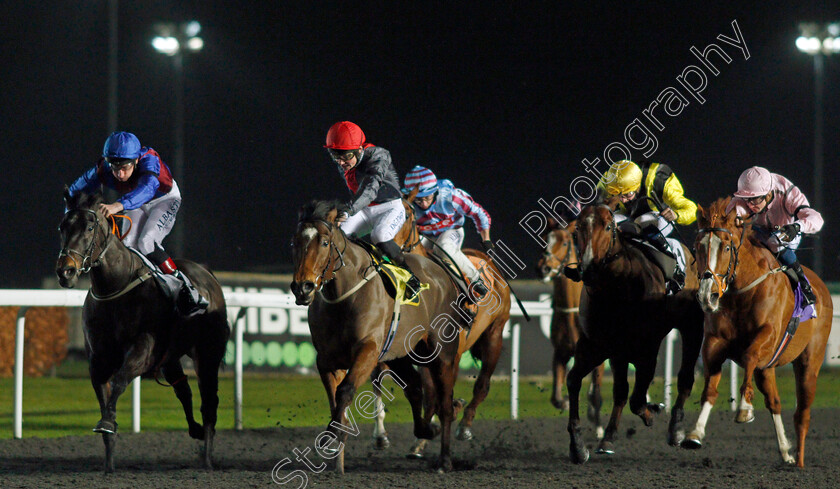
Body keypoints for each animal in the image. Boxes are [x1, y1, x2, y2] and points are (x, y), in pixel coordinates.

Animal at [55, 189, 230, 470]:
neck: (116, 287)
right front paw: (108, 462)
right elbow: (104, 398)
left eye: (90, 227)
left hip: (207, 353)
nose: (66, 271)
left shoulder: (143, 349)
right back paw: (195, 430)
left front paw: (108, 424)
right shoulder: (98, 358)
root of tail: (207, 273)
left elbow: (119, 381)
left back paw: (207, 460)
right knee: (183, 389)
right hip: (170, 357)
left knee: (209, 402)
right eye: (63, 226)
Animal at [292, 199, 470, 472]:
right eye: (295, 242)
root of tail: (444, 274)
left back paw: (445, 459)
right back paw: (428, 430)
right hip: (401, 354)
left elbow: (345, 390)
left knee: (445, 404)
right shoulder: (326, 359)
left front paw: (332, 436)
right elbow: (334, 397)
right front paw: (336, 449)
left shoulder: (368, 350)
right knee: (415, 388)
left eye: (324, 242)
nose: (303, 288)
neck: (344, 295)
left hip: (442, 353)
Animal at [540, 217, 604, 434]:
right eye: (545, 239)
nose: (543, 268)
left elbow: (596, 395)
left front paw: (599, 427)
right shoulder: (560, 351)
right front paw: (566, 402)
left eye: (565, 243)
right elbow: (555, 397)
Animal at [560, 201, 704, 462]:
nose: (588, 269)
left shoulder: (647, 346)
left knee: (685, 378)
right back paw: (608, 437)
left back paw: (676, 429)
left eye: (608, 227)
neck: (619, 286)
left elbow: (637, 398)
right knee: (621, 391)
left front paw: (653, 412)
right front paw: (578, 446)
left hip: (692, 326)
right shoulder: (597, 344)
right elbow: (575, 380)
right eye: (577, 230)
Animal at [684, 196, 832, 468]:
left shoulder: (767, 338)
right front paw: (694, 433)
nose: (707, 296)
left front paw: (744, 409)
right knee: (775, 402)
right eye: (697, 246)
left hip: (809, 363)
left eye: (727, 248)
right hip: (768, 369)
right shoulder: (714, 343)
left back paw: (799, 460)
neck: (742, 292)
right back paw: (786, 452)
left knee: (802, 413)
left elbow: (749, 357)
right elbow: (710, 388)